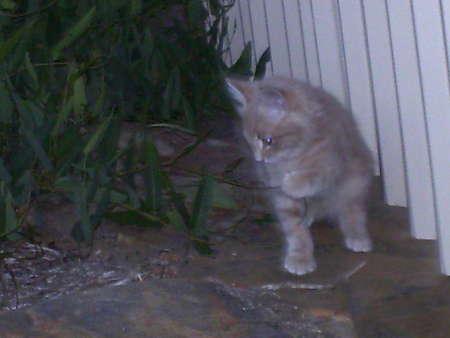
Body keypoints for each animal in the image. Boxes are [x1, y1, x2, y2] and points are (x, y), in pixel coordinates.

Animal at [229, 76, 372, 274]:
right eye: (249, 141)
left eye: (268, 141)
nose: (259, 160)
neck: (294, 156)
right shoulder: (283, 199)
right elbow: (295, 228)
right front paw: (300, 257)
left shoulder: (333, 164)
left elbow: (314, 176)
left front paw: (291, 182)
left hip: (354, 182)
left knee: (352, 210)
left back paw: (357, 237)